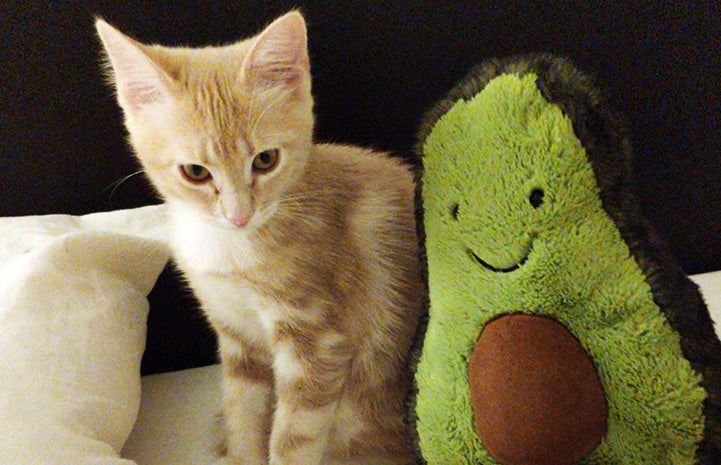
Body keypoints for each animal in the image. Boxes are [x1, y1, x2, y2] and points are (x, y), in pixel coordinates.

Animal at [95, 10, 422, 464]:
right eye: (195, 172)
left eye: (266, 160)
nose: (239, 215)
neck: (229, 248)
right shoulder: (235, 337)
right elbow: (242, 410)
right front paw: (239, 449)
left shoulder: (317, 344)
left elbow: (293, 438)